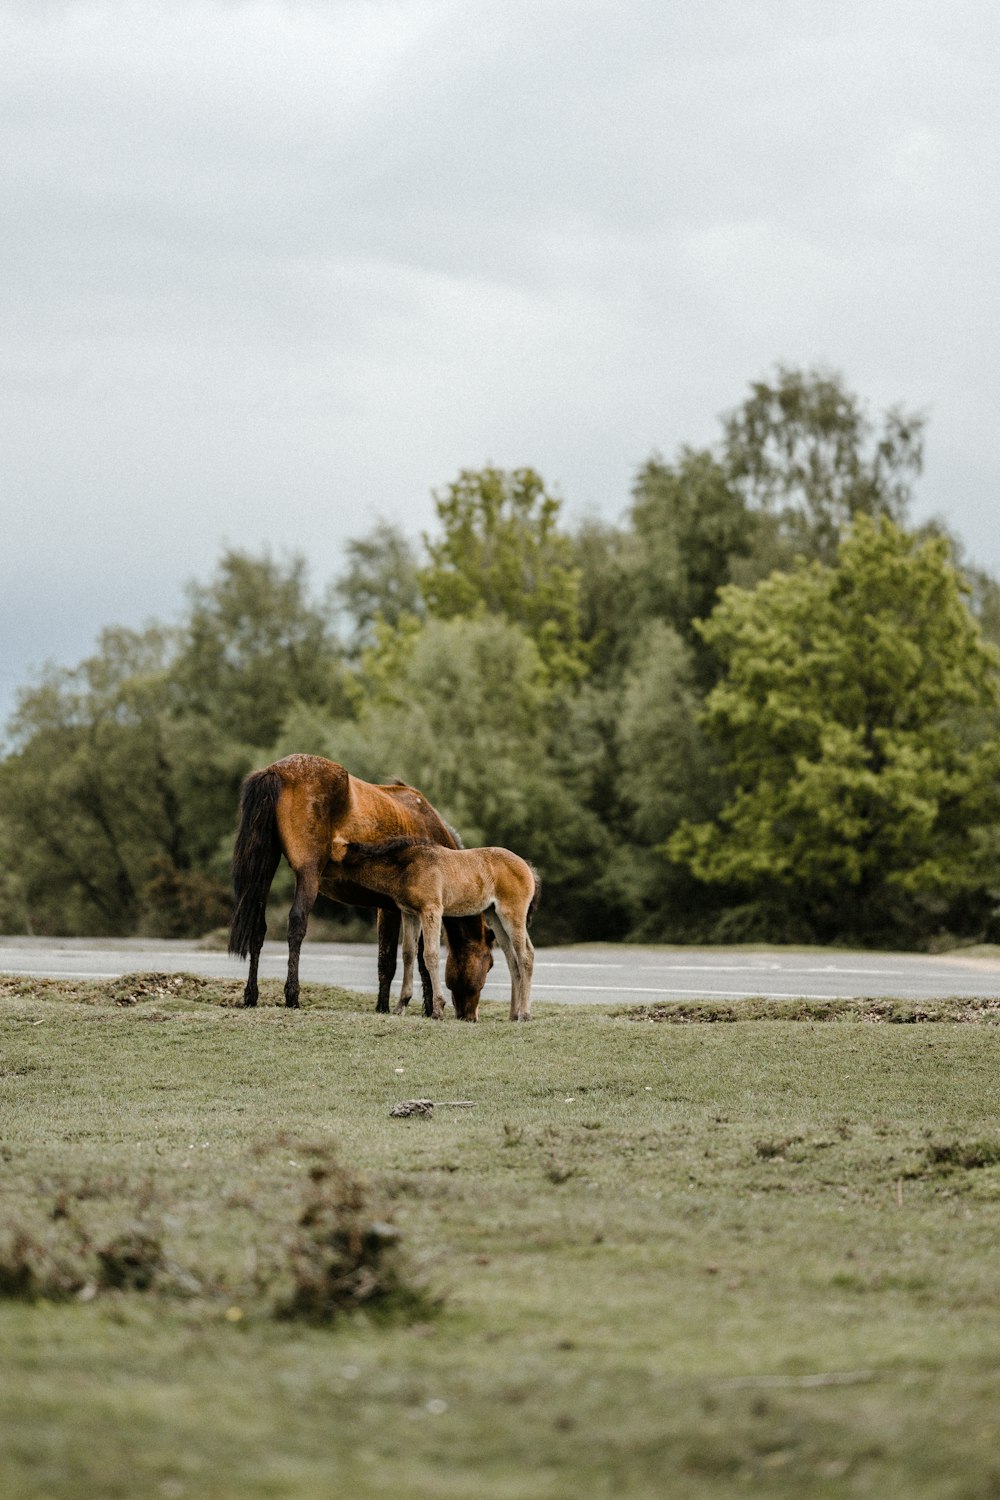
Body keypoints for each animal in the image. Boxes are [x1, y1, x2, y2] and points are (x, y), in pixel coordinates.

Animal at [226, 756, 491, 1014]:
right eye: (490, 964)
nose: (470, 1016)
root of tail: (276, 771)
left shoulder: (392, 908)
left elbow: (387, 959)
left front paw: (384, 1006)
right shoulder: (415, 908)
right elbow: (412, 958)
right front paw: (423, 1008)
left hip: (266, 868)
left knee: (258, 927)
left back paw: (251, 995)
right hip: (308, 873)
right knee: (297, 923)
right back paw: (292, 995)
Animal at [332, 840, 539, 1026]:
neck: (406, 867)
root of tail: (527, 867)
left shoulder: (431, 911)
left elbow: (430, 955)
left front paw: (438, 1009)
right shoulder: (410, 914)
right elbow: (408, 953)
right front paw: (400, 1006)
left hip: (511, 913)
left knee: (526, 955)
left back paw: (525, 1014)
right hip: (494, 916)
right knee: (513, 961)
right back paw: (513, 1014)